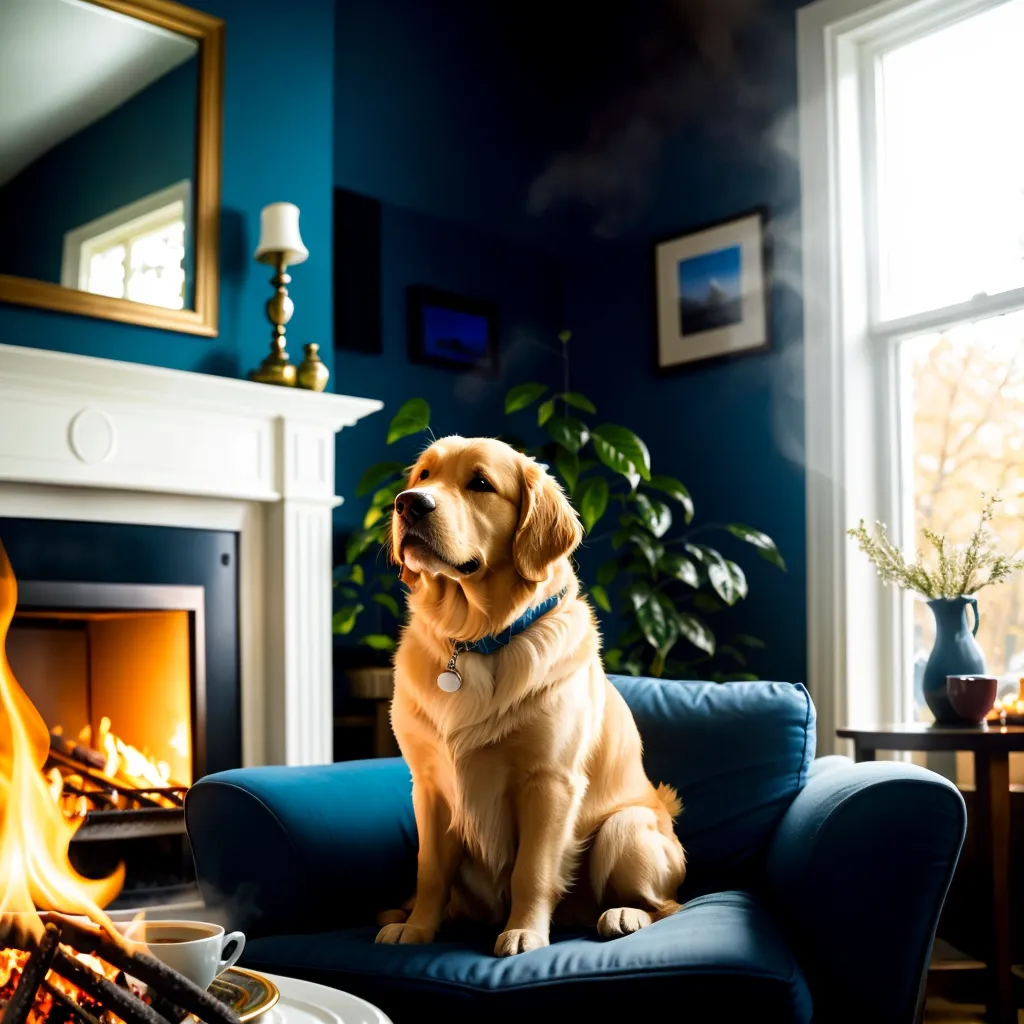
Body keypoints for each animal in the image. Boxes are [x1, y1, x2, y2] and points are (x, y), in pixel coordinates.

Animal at [378, 436, 688, 954]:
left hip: (625, 829)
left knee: (670, 906)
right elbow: (430, 871)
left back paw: (624, 914)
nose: (409, 504)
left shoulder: (550, 781)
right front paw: (418, 928)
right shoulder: (429, 785)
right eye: (423, 476)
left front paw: (524, 930)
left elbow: (534, 869)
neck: (476, 638)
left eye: (480, 483)